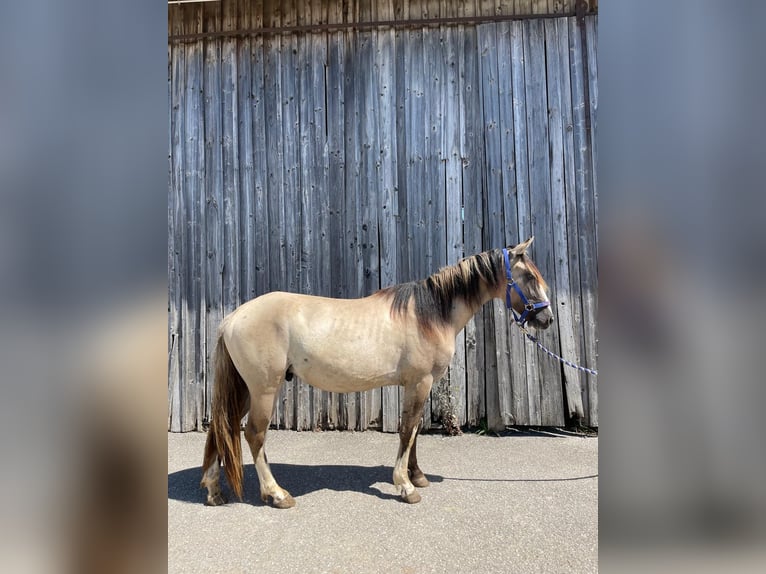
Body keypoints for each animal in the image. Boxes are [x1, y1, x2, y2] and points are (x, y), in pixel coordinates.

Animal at [200, 236, 554, 507]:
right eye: (529, 277)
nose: (546, 319)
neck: (427, 314)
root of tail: (233, 318)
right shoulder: (420, 382)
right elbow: (407, 430)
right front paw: (405, 486)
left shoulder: (416, 385)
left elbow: (414, 430)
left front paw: (417, 476)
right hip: (264, 389)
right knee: (253, 435)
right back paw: (276, 494)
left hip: (245, 389)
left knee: (221, 427)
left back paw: (214, 491)